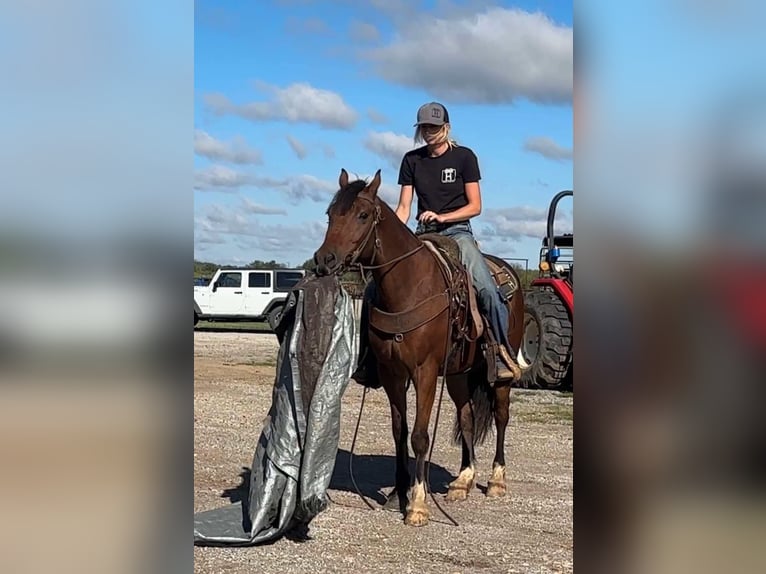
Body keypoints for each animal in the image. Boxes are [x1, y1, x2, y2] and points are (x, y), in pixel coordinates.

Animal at [316, 169, 524, 528]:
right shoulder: (391, 373)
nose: (324, 259)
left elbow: (420, 436)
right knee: (467, 417)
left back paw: (496, 480)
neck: (408, 287)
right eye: (331, 214)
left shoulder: (424, 371)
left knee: (501, 415)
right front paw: (397, 494)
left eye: (363, 215)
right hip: (458, 374)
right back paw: (463, 480)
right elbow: (399, 431)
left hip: (499, 374)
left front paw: (417, 504)